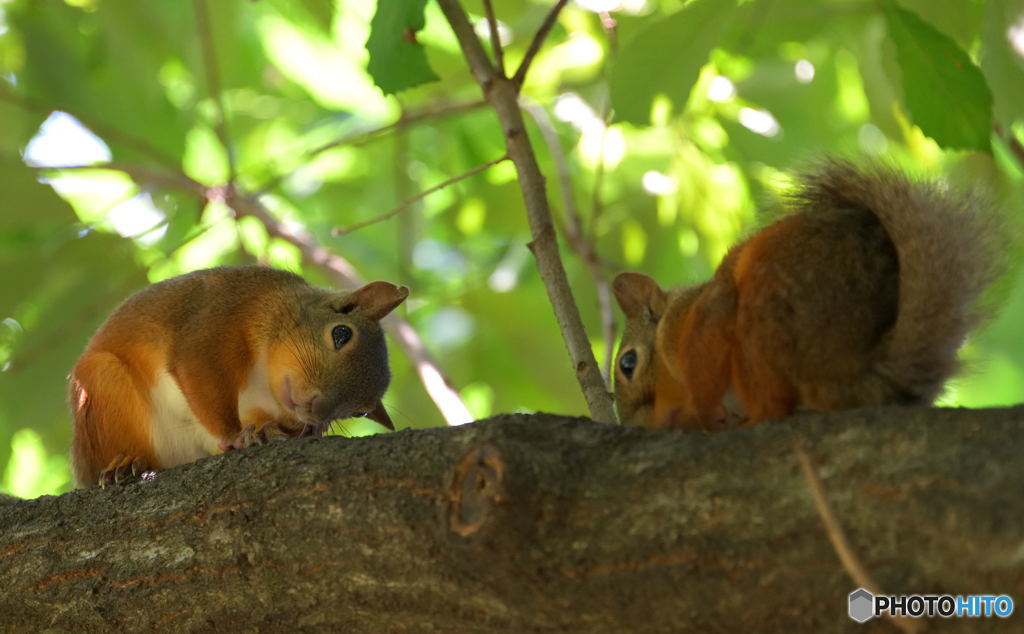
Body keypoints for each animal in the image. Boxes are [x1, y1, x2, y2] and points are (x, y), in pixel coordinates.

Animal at [66, 266, 409, 489]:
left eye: (360, 411)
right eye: (341, 334)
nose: (315, 410)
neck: (263, 378)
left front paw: (272, 431)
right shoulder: (220, 315)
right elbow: (198, 370)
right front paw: (236, 435)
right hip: (103, 384)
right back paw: (124, 464)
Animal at [610, 158, 995, 432]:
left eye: (627, 363)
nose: (638, 427)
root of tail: (855, 377)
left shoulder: (696, 319)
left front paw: (706, 413)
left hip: (766, 322)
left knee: (772, 404)